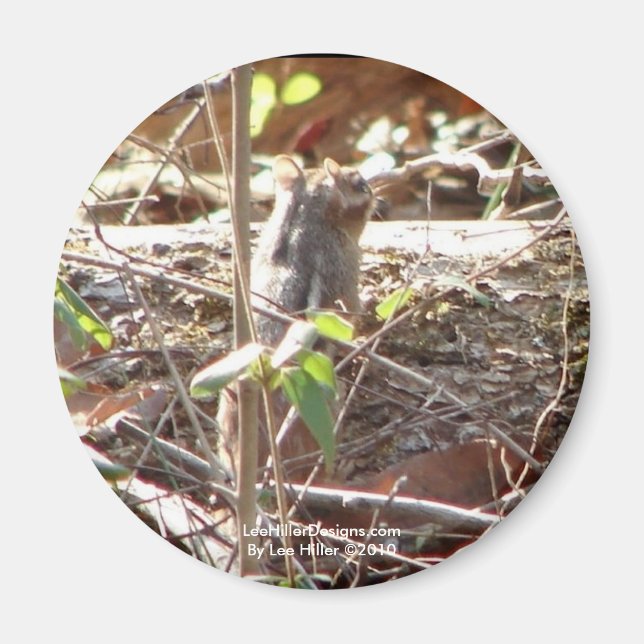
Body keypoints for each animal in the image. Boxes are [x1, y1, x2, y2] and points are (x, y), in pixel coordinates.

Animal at [217, 155, 375, 481]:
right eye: (361, 185)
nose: (377, 194)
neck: (300, 221)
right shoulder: (345, 273)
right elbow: (353, 316)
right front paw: (372, 298)